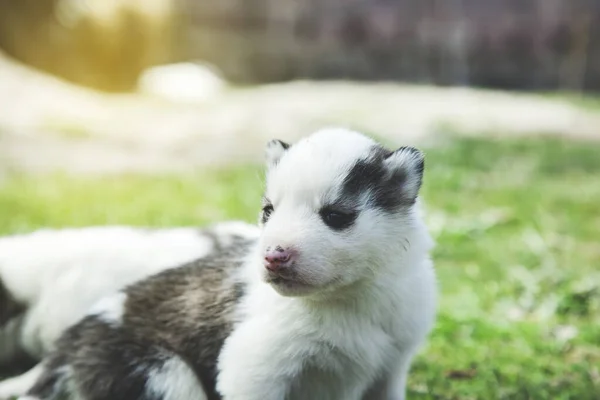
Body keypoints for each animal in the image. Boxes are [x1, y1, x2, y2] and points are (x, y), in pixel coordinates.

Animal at [9, 128, 436, 400]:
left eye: (335, 216)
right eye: (268, 211)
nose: (273, 255)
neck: (350, 297)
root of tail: (68, 346)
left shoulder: (392, 365)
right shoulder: (254, 367)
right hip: (165, 376)